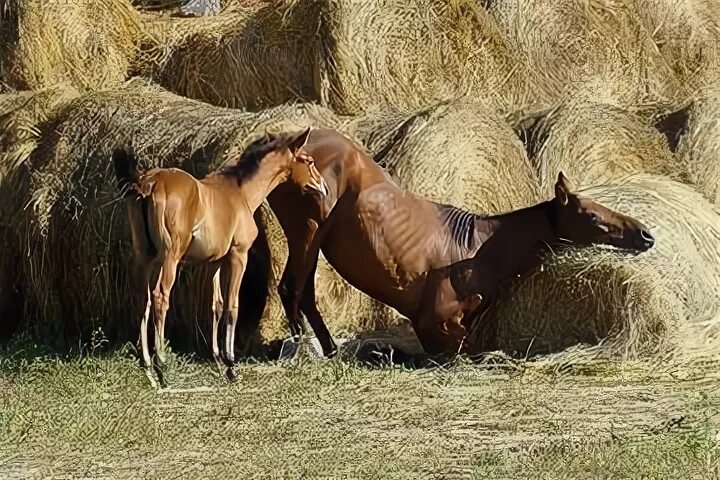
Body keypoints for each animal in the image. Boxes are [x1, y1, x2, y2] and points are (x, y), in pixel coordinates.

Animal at [114, 126, 328, 386]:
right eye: (309, 161)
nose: (323, 186)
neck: (241, 192)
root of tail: (150, 183)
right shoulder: (238, 256)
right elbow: (232, 304)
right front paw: (230, 364)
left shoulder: (214, 262)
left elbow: (215, 304)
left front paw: (218, 360)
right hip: (169, 257)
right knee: (159, 297)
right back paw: (161, 365)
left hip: (144, 256)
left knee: (142, 298)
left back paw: (147, 364)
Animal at [268, 127, 656, 360]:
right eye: (590, 215)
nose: (645, 235)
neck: (480, 249)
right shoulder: (435, 324)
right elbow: (472, 353)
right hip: (308, 230)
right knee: (291, 287)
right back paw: (305, 350)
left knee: (305, 292)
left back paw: (329, 348)